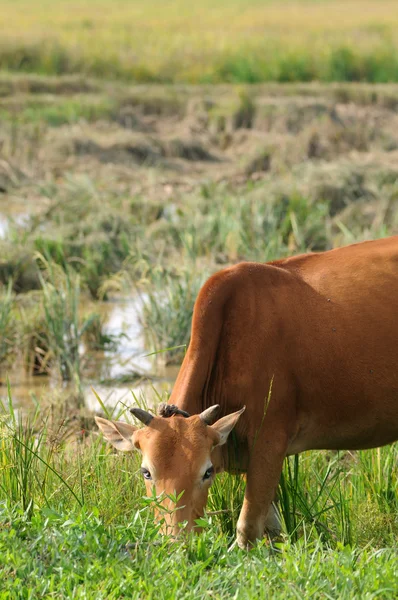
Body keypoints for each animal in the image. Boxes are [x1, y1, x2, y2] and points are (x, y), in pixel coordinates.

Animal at [96, 234, 398, 548]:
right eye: (146, 472)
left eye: (207, 472)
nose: (177, 539)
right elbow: (273, 527)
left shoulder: (270, 440)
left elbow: (248, 527)